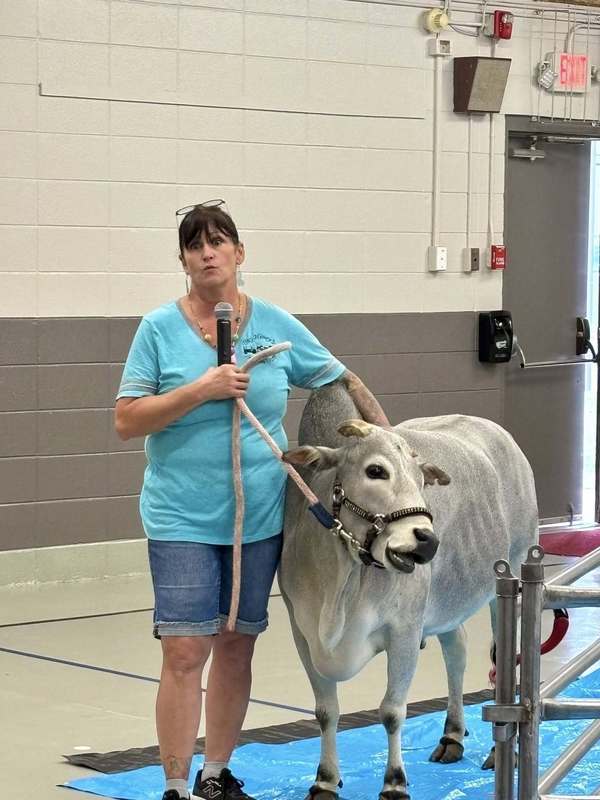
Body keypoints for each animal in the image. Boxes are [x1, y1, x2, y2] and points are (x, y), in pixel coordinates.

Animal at [279, 382, 538, 800]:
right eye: (375, 470)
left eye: (421, 481)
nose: (427, 541)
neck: (341, 585)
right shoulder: (302, 633)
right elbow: (325, 711)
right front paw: (325, 781)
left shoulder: (404, 631)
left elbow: (392, 711)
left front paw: (395, 782)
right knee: (457, 652)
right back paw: (452, 736)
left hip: (510, 581)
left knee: (505, 660)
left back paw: (502, 754)